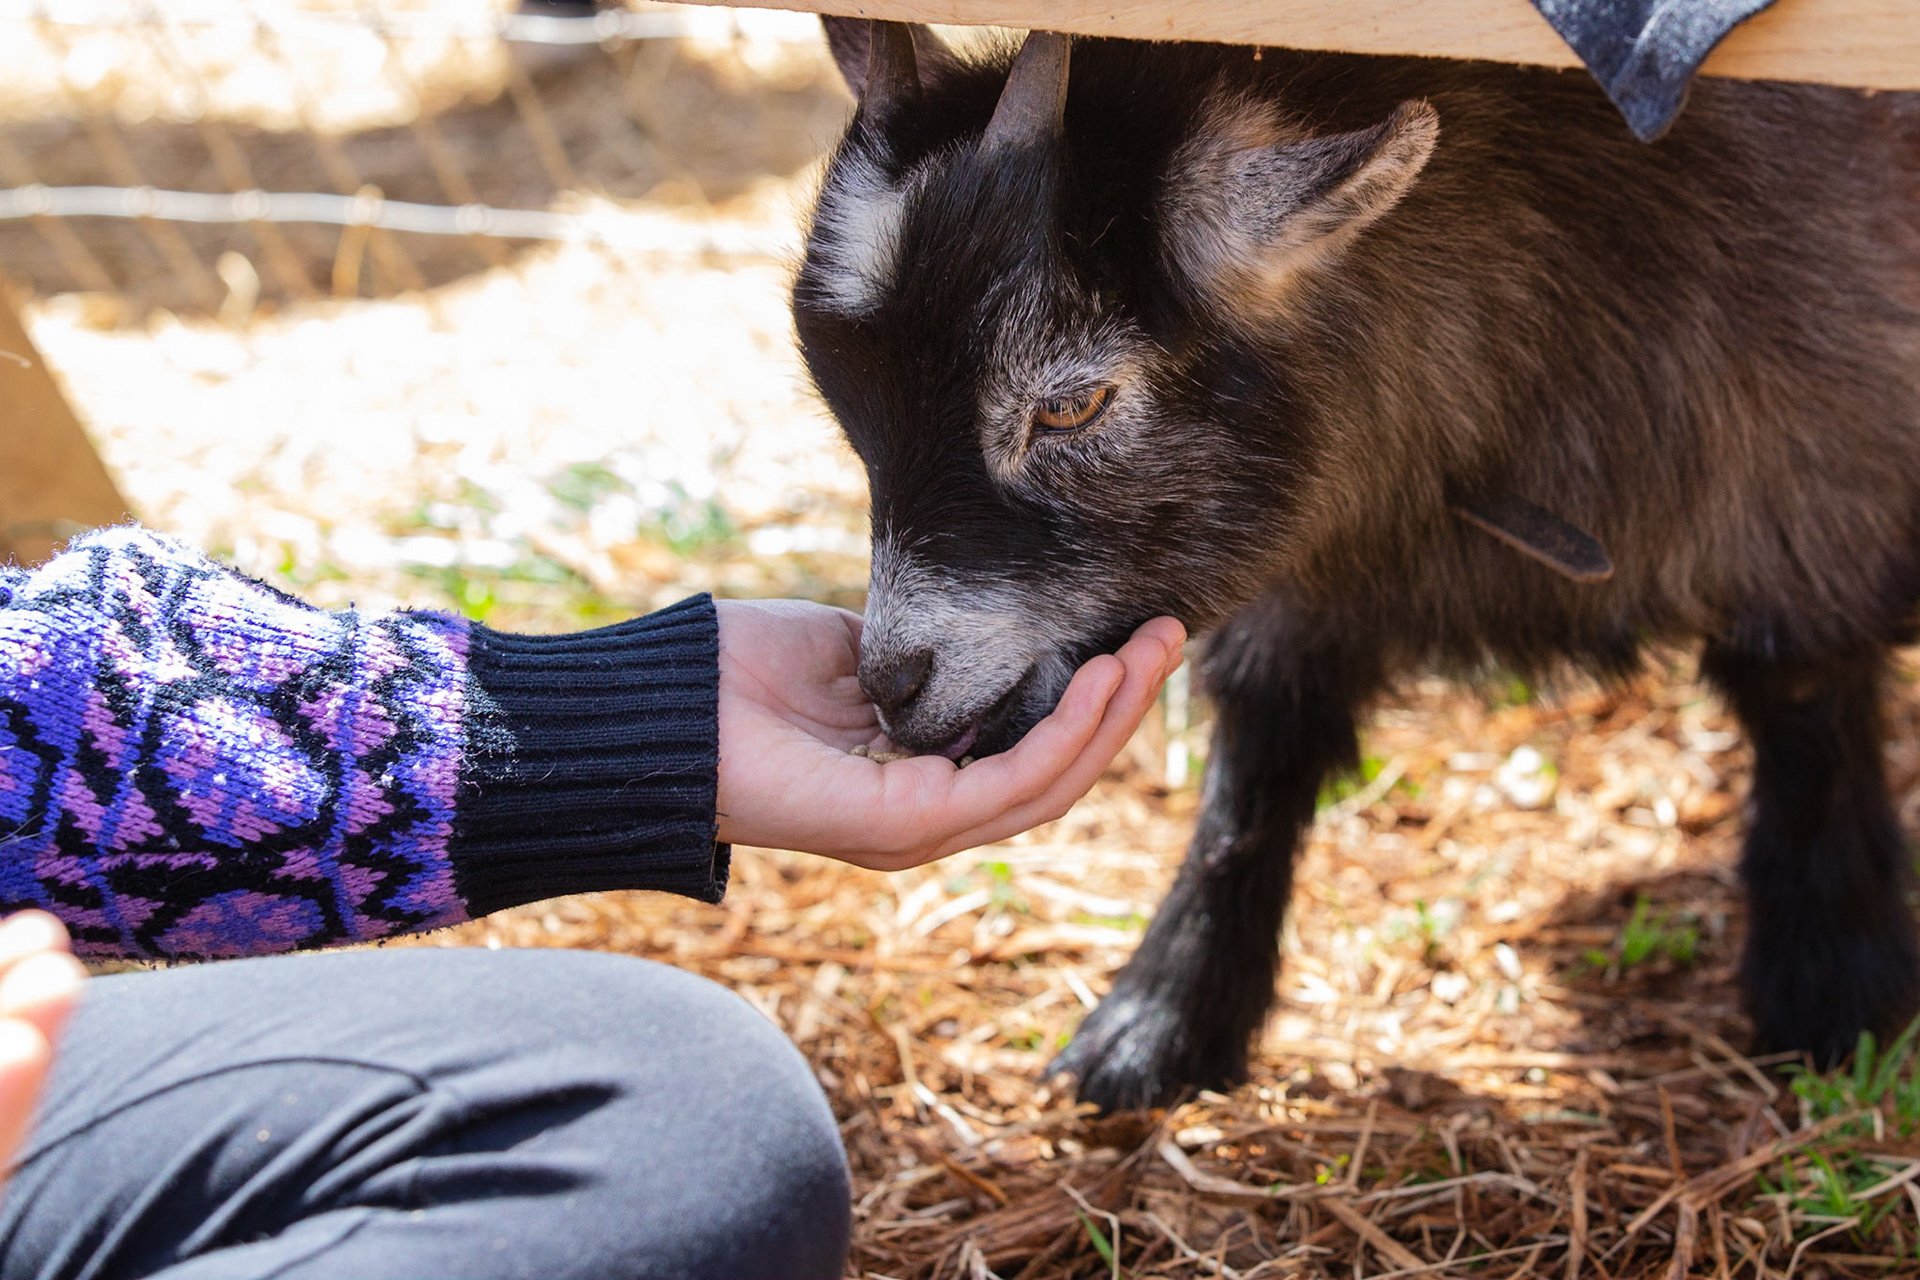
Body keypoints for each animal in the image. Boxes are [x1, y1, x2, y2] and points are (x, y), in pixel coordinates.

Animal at [791, 20, 1920, 1111]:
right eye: (853, 412)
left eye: (1069, 404)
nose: (891, 682)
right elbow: (1263, 745)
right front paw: (1162, 1021)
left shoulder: (1812, 471)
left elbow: (1802, 700)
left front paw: (1832, 990)